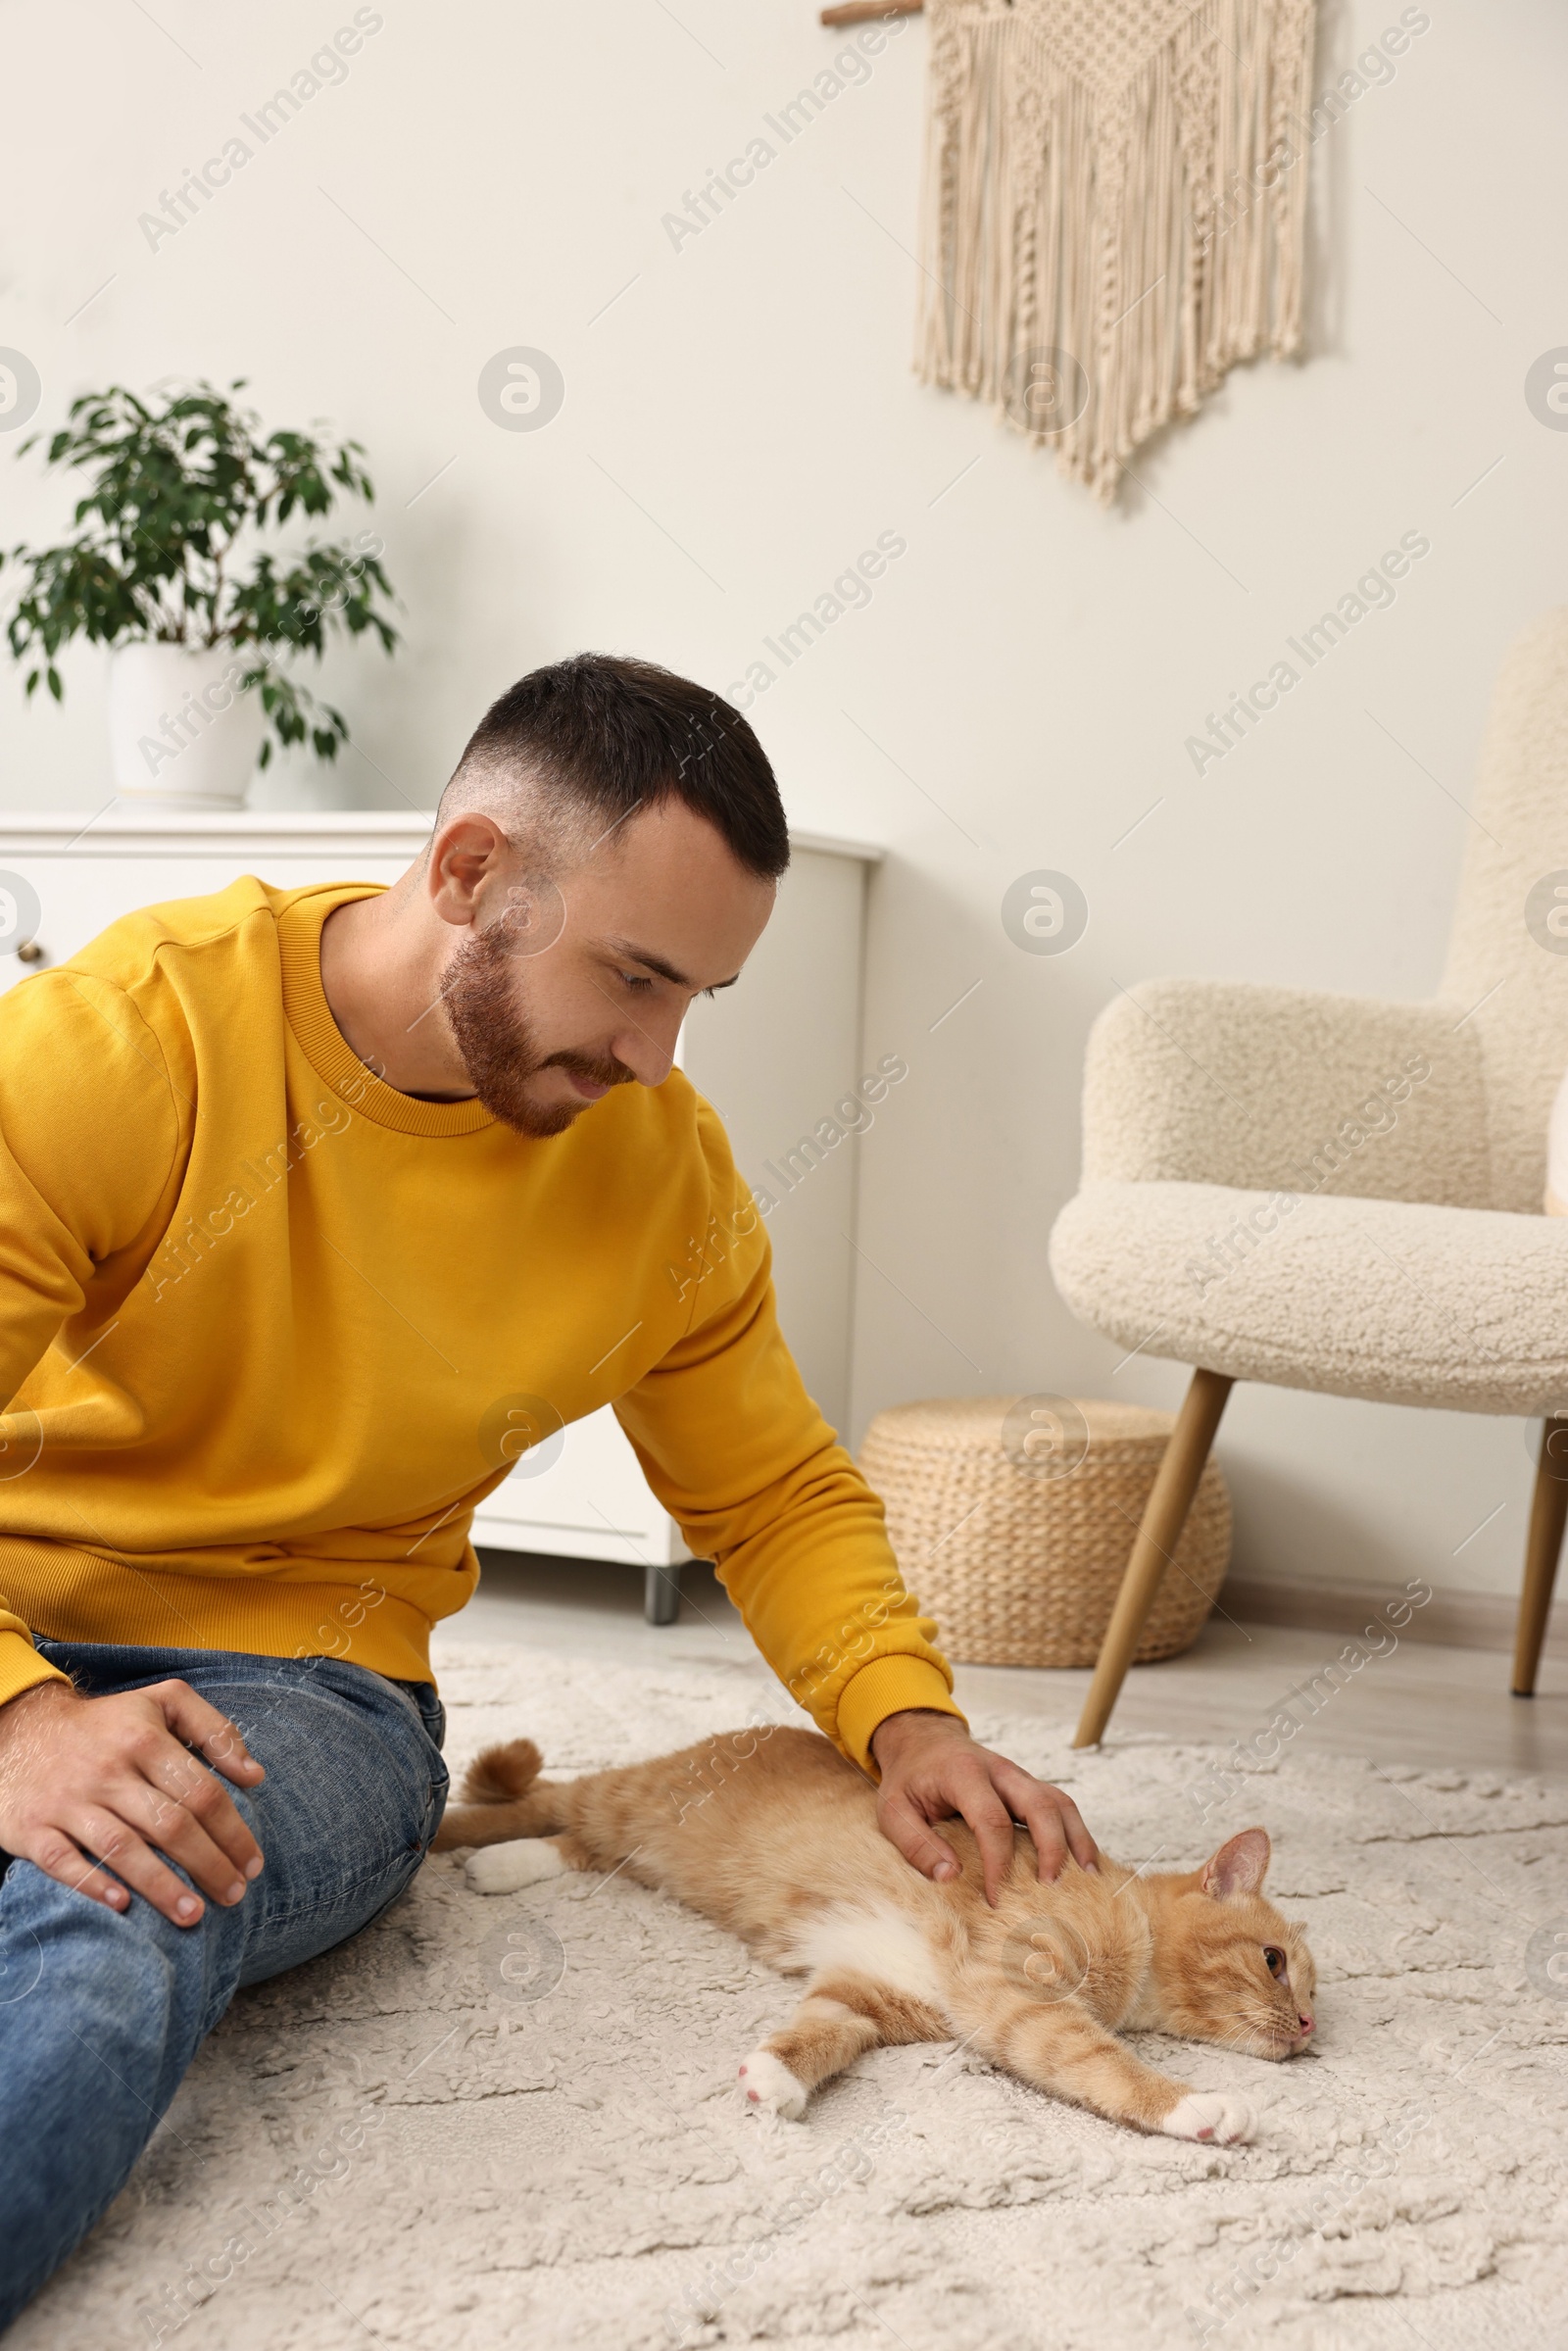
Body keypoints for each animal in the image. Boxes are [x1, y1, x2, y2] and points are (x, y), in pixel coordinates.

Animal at [434, 1721, 1316, 2143]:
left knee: (576, 1842)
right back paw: (450, 1842)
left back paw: (507, 1866)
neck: (1124, 1912)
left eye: (1309, 1991)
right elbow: (1106, 2065)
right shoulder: (1018, 1997)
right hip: (627, 1800)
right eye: (1274, 1961)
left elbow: (817, 2036)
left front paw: (776, 2077)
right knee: (539, 1797)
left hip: (641, 1844)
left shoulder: (866, 1993)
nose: (1310, 2026)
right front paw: (1198, 2107)